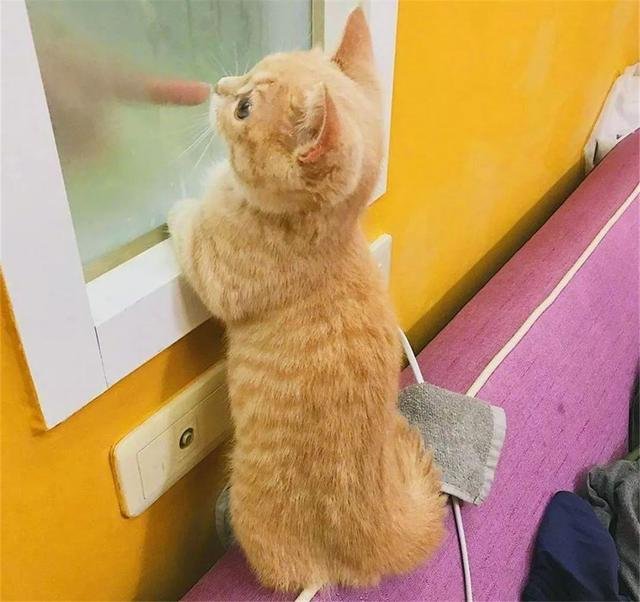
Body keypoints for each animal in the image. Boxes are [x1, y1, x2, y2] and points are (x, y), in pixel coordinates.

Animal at [168, 8, 444, 594]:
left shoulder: (219, 267)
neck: (328, 236)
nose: (219, 86)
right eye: (250, 70)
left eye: (245, 109)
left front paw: (187, 201)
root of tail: (378, 533)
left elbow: (193, 232)